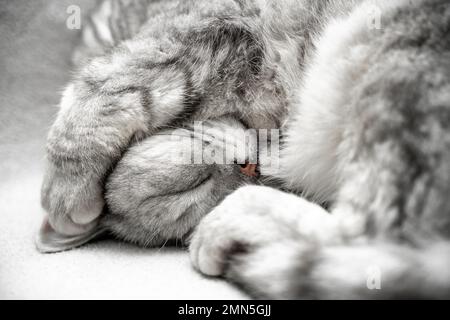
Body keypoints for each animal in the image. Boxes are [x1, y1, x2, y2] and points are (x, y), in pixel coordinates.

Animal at [37, 0, 450, 300]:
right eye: (197, 187)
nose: (250, 168)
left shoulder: (203, 28)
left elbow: (109, 83)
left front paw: (64, 191)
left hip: (394, 68)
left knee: (369, 241)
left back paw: (240, 221)